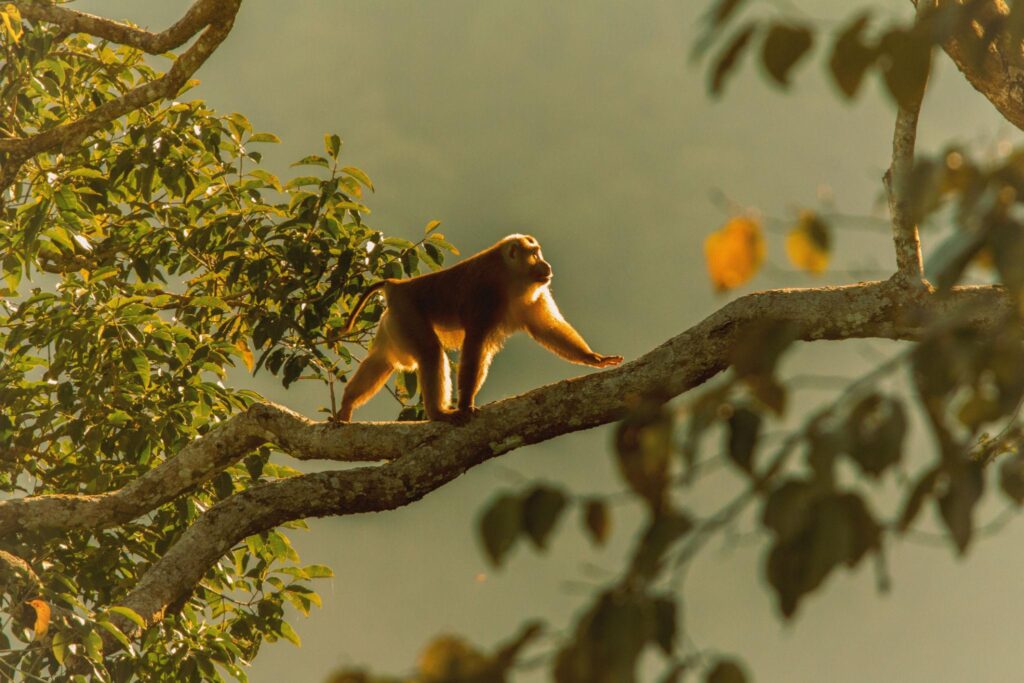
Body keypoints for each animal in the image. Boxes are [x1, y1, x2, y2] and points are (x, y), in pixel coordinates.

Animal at [335, 234, 623, 423]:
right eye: (534, 254)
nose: (546, 264)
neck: (509, 276)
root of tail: (396, 285)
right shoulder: (485, 294)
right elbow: (475, 344)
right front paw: (465, 404)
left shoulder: (533, 295)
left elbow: (547, 328)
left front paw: (592, 357)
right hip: (408, 313)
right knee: (430, 352)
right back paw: (437, 413)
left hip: (394, 320)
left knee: (382, 359)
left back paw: (347, 403)